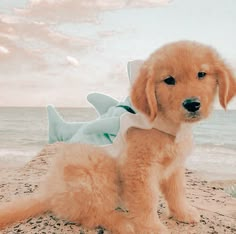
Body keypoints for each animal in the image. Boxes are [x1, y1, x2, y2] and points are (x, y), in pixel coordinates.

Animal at [0, 41, 235, 233]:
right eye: (169, 80)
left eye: (201, 74)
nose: (192, 104)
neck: (166, 123)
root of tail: (48, 193)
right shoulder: (139, 169)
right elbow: (147, 200)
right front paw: (152, 228)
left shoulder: (174, 167)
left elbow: (177, 192)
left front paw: (183, 213)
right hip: (95, 169)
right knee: (94, 215)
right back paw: (124, 223)